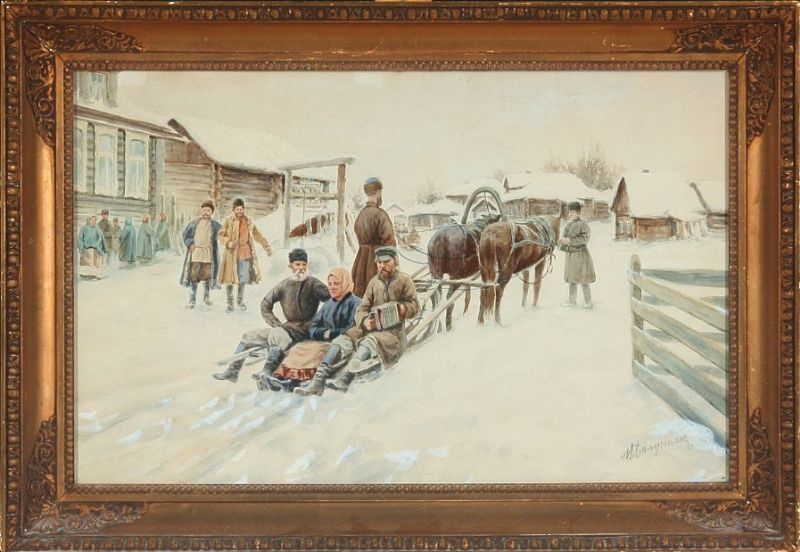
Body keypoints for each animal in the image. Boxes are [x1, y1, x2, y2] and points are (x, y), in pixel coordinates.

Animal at [426, 186, 506, 330]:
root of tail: (441, 238)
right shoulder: (483, 273)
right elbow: (483, 293)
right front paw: (480, 320)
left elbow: (470, 295)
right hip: (454, 277)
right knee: (448, 298)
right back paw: (448, 326)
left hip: (436, 275)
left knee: (436, 298)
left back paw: (439, 326)